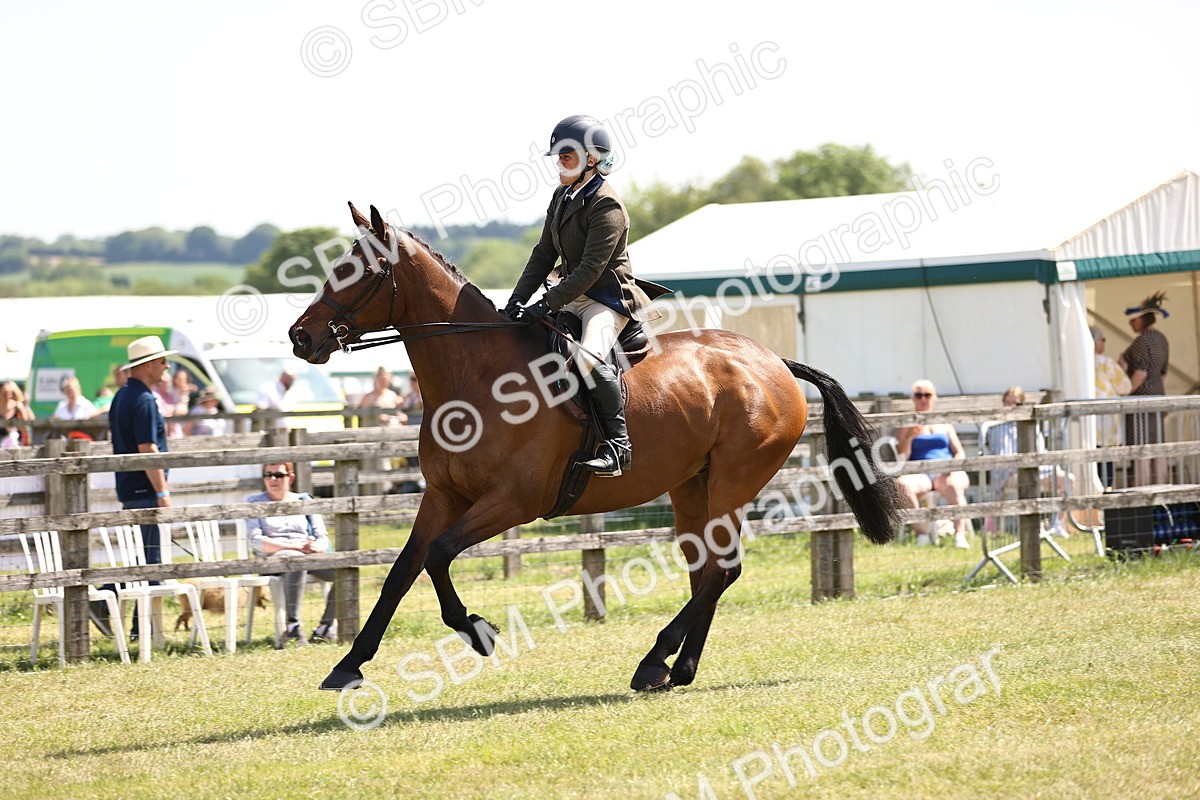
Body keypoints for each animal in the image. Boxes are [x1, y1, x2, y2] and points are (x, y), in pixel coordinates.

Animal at [289, 203, 900, 693]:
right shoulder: (443, 494)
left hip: (735, 480)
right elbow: (403, 569)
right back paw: (676, 669)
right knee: (706, 568)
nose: (300, 337)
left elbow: (438, 555)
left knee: (722, 570)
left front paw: (479, 632)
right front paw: (348, 666)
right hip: (692, 487)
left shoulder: (515, 501)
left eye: (358, 271)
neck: (476, 374)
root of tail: (773, 361)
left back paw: (654, 662)